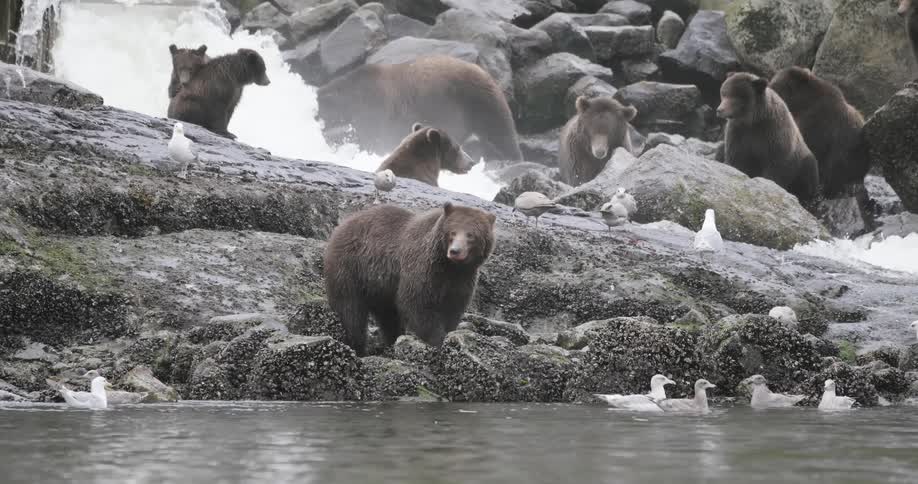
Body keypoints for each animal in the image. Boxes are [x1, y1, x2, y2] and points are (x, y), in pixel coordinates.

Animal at [317, 55, 523, 162]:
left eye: (319, 111)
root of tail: (488, 75)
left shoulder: (376, 106)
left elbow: (373, 136)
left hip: (478, 101)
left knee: (501, 130)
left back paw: (513, 157)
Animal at [323, 202, 497, 356]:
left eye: (471, 235)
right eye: (452, 232)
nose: (455, 251)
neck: (449, 267)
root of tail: (340, 227)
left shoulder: (461, 280)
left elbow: (453, 308)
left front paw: (448, 333)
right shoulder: (422, 268)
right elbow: (417, 303)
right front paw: (437, 339)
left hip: (380, 287)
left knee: (388, 316)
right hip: (350, 268)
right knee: (351, 311)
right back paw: (358, 346)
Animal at [717, 72, 820, 204]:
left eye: (735, 96)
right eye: (723, 93)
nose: (720, 110)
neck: (753, 120)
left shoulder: (773, 134)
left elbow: (775, 166)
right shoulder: (738, 133)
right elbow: (736, 158)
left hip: (804, 162)